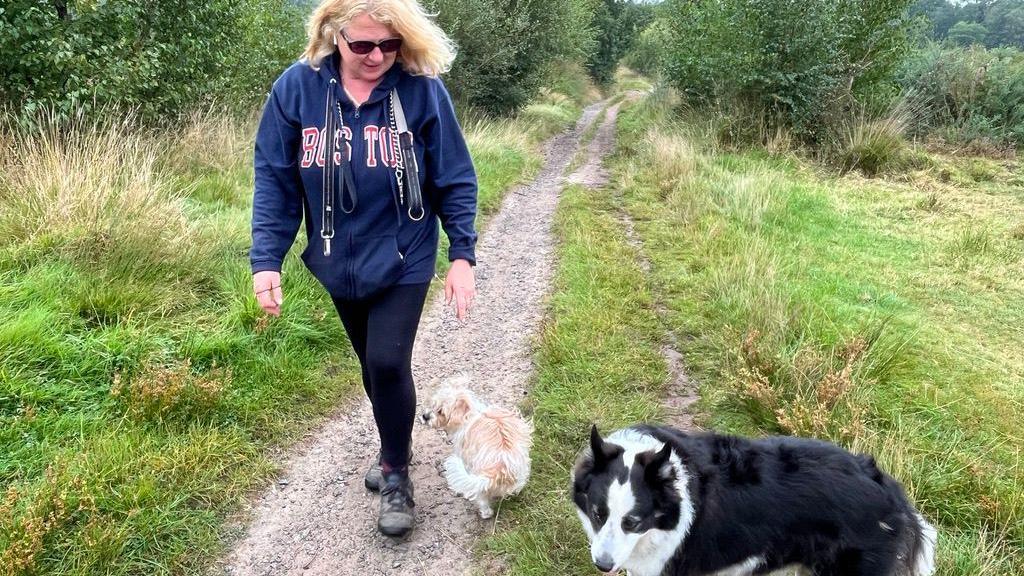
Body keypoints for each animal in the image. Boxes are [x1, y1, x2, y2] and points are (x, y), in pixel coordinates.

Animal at [423, 375, 536, 518]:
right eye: (432, 405)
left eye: (440, 412)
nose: (425, 416)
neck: (468, 413)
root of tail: (498, 470)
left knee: (482, 498)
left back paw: (485, 512)